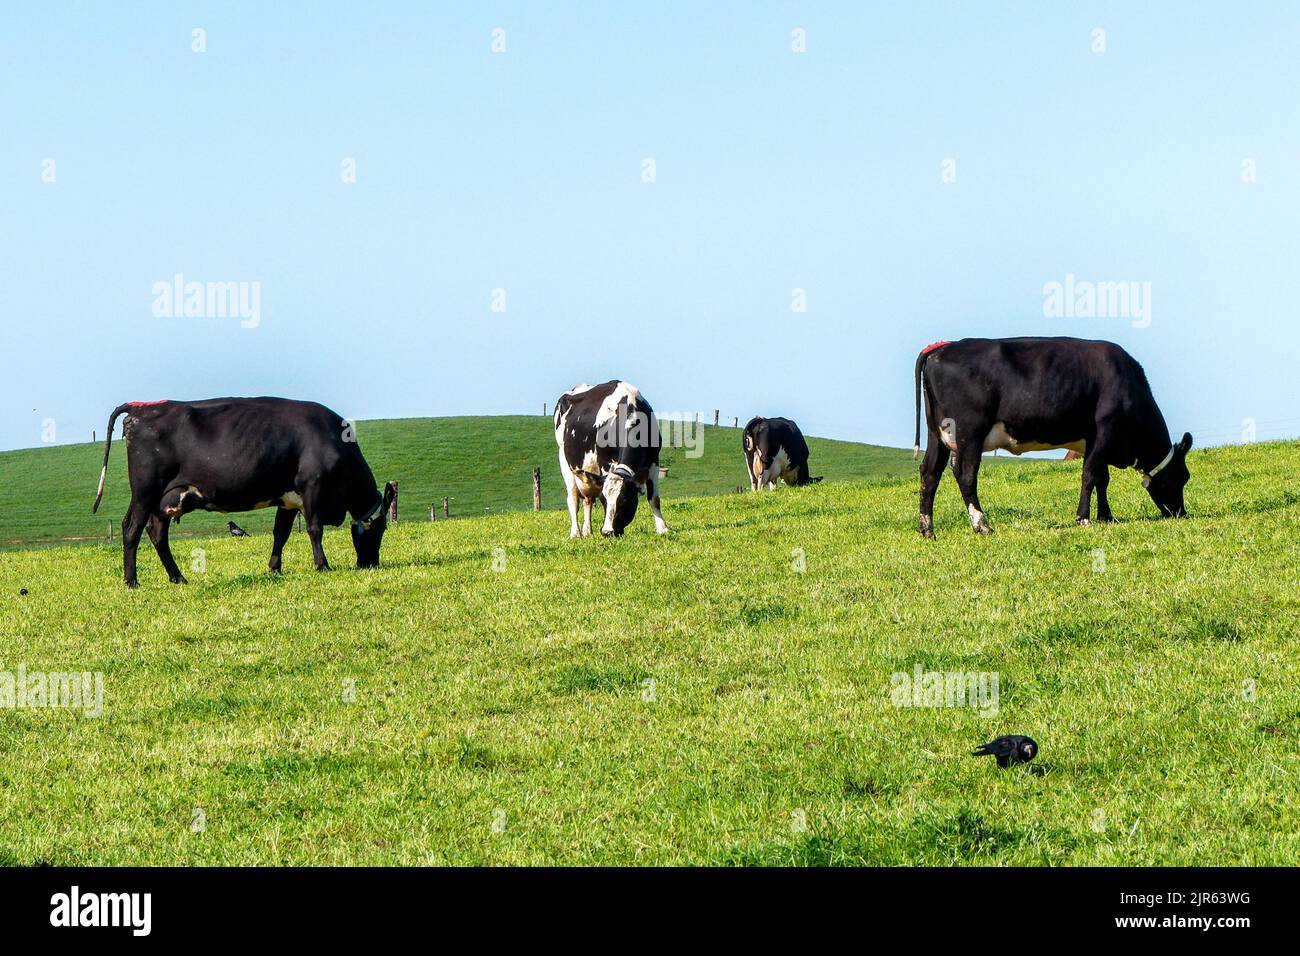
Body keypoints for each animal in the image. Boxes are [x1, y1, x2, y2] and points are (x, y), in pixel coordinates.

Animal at [92, 398, 395, 586]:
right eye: (380, 528)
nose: (371, 564)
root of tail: (141, 409)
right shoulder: (313, 488)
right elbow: (314, 529)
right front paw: (322, 565)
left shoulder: (288, 499)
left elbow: (281, 533)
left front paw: (274, 568)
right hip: (145, 491)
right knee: (132, 529)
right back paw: (132, 581)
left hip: (164, 499)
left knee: (156, 533)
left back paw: (178, 578)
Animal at [553, 381, 668, 538]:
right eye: (603, 500)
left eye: (624, 500)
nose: (607, 532)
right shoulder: (604, 462)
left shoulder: (654, 461)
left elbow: (654, 498)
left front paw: (662, 528)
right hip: (565, 461)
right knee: (573, 499)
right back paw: (576, 533)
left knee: (588, 500)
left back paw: (588, 532)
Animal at [913, 337, 1192, 537]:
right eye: (1182, 477)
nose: (1182, 513)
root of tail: (942, 348)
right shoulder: (1104, 430)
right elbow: (1089, 476)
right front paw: (1084, 518)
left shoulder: (1095, 442)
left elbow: (1102, 479)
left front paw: (1106, 517)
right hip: (970, 433)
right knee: (966, 475)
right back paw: (982, 525)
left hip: (937, 435)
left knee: (929, 473)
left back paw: (927, 530)